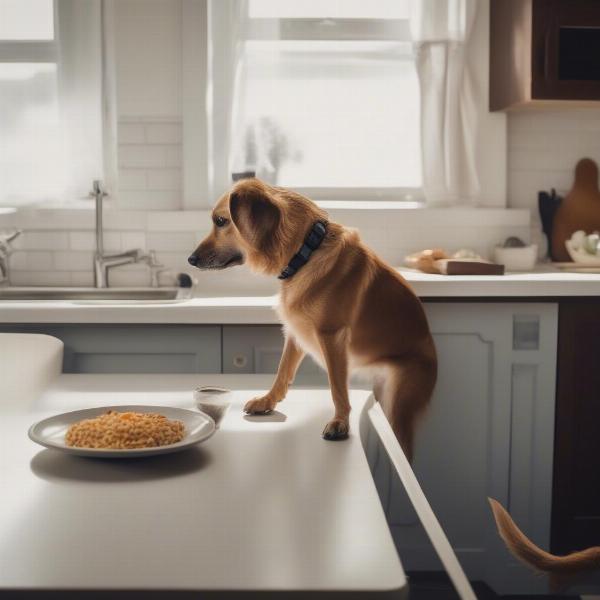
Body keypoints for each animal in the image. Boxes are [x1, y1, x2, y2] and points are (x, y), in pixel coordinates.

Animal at [190, 178, 438, 460]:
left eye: (221, 221)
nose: (191, 259)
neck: (306, 253)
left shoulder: (332, 336)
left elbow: (337, 388)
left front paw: (340, 423)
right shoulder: (294, 334)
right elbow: (282, 372)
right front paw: (268, 401)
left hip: (400, 402)